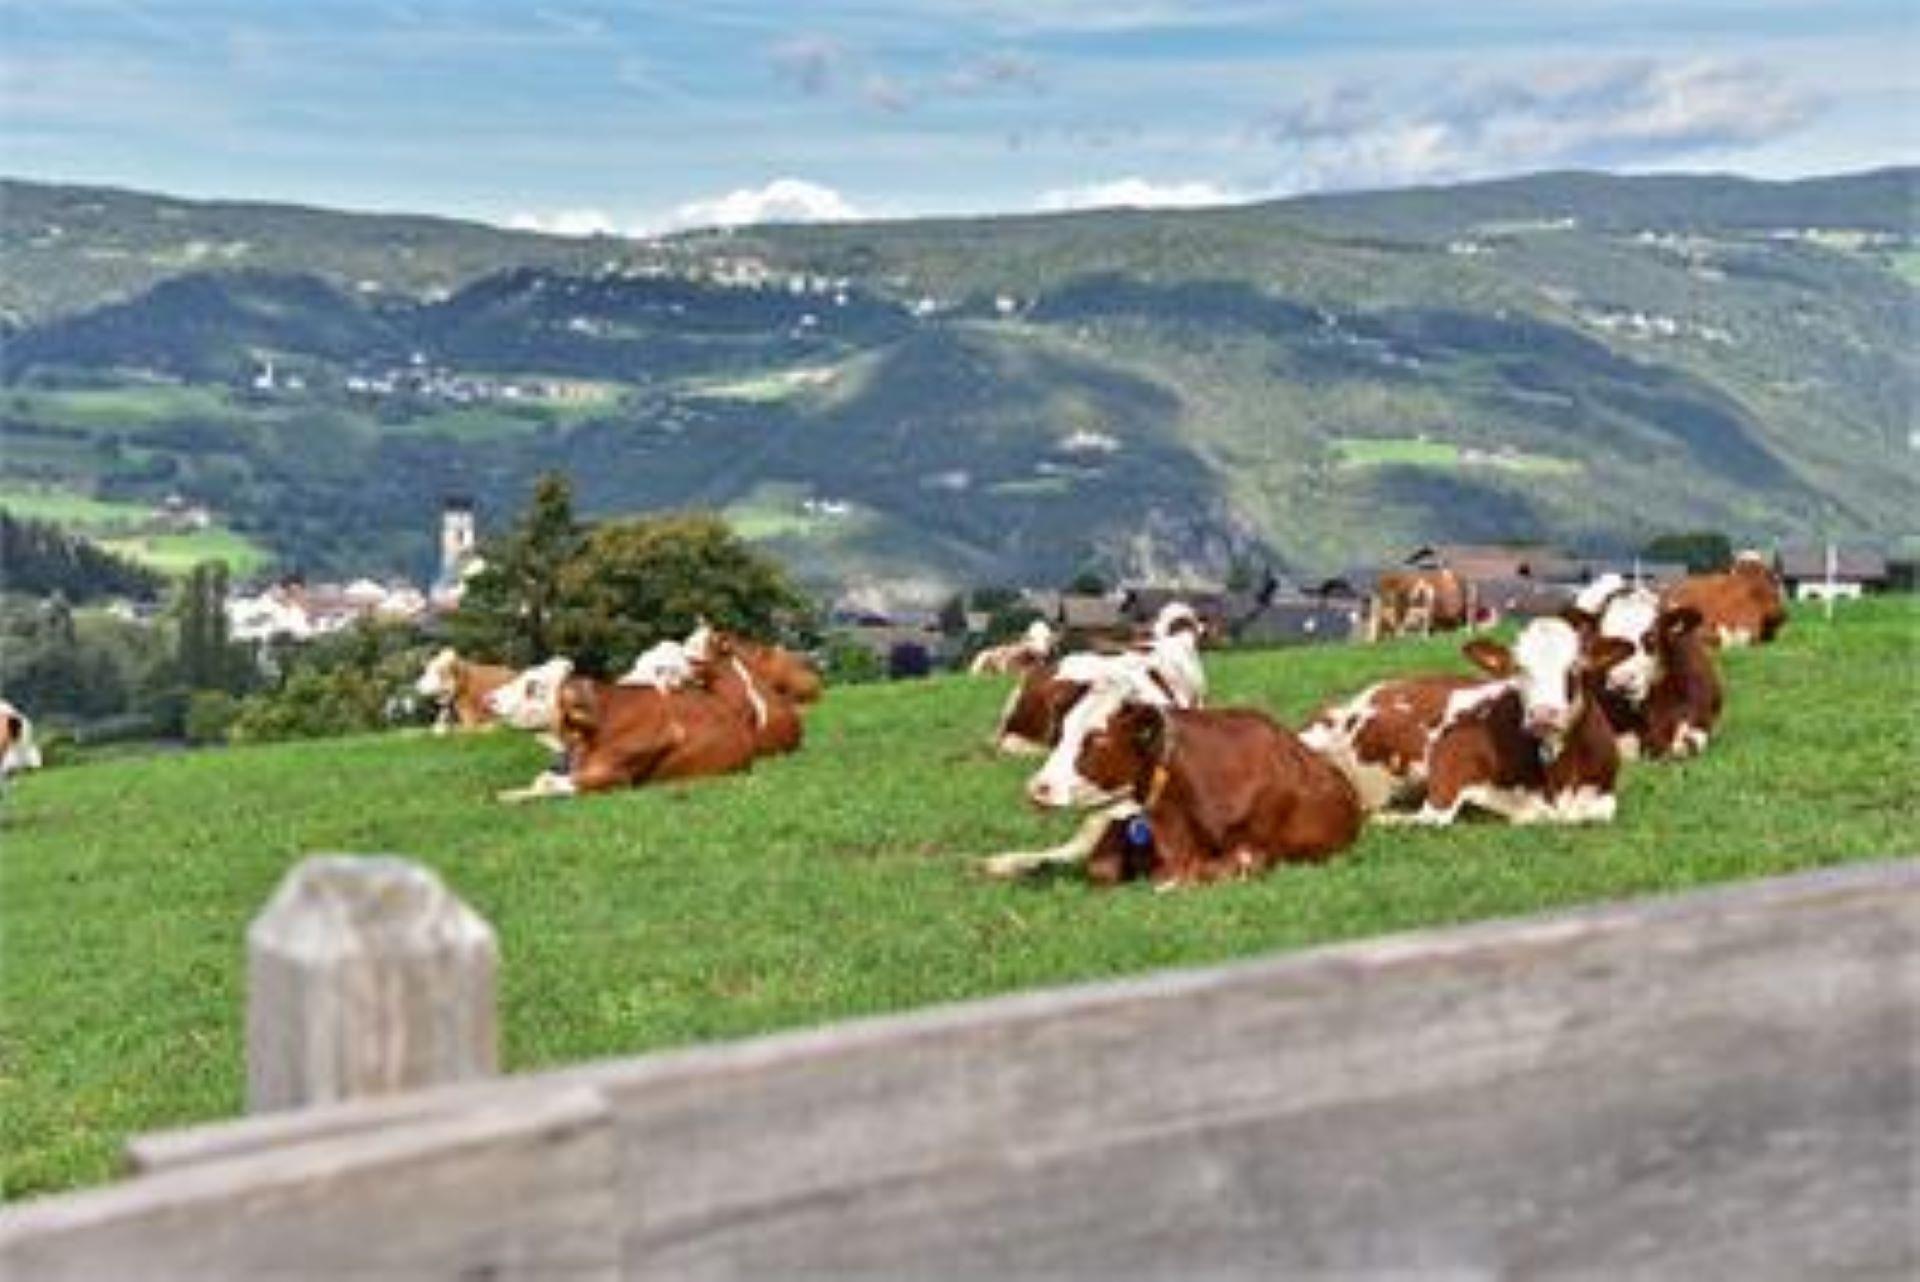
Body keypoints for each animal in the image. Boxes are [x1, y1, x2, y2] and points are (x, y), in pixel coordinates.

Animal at [990, 679, 1367, 890]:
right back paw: (1005, 863)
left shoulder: (1257, 850)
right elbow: (1100, 867)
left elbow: (1214, 868)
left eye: (1097, 738)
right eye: (1060, 733)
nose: (1038, 788)